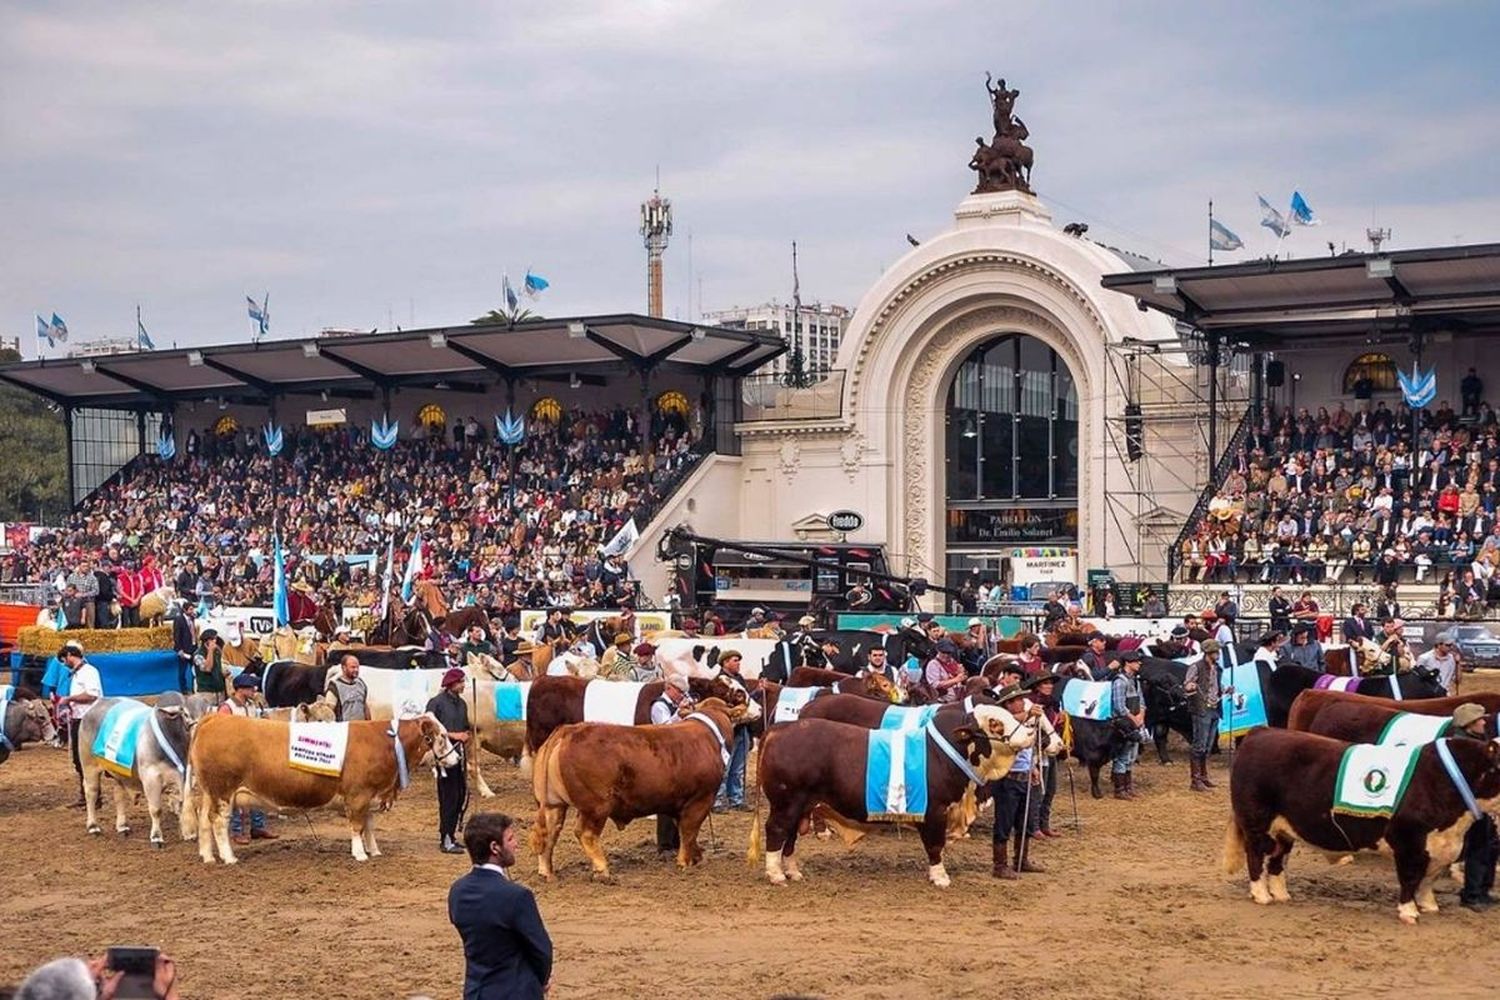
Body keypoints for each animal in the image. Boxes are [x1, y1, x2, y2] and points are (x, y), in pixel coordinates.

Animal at [76, 701, 193, 851]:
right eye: (186, 715)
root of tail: (95, 705)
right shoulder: (151, 779)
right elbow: (156, 809)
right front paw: (156, 837)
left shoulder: (182, 777)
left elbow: (183, 804)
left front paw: (188, 833)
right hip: (89, 765)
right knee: (91, 792)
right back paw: (93, 827)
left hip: (119, 773)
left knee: (119, 796)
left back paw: (122, 827)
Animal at [186, 716, 456, 863]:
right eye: (442, 736)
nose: (456, 759)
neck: (387, 742)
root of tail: (215, 718)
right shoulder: (358, 795)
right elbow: (357, 826)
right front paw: (360, 854)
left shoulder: (369, 796)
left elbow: (368, 825)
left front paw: (375, 851)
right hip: (223, 791)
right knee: (218, 822)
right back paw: (229, 857)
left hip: (210, 792)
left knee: (204, 821)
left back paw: (207, 856)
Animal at [531, 701, 735, 881]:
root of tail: (567, 730)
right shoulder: (701, 800)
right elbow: (689, 830)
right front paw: (684, 862)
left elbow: (686, 832)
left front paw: (696, 856)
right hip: (596, 807)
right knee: (586, 834)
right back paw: (602, 871)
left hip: (553, 804)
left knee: (550, 833)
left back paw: (547, 873)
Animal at [1224, 728, 1500, 923]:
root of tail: (1261, 731)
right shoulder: (1408, 842)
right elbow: (1410, 878)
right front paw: (1409, 912)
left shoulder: (1438, 846)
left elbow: (1427, 879)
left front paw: (1430, 906)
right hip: (1257, 823)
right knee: (1256, 856)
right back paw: (1262, 896)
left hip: (1284, 830)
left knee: (1277, 861)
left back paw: (1281, 895)